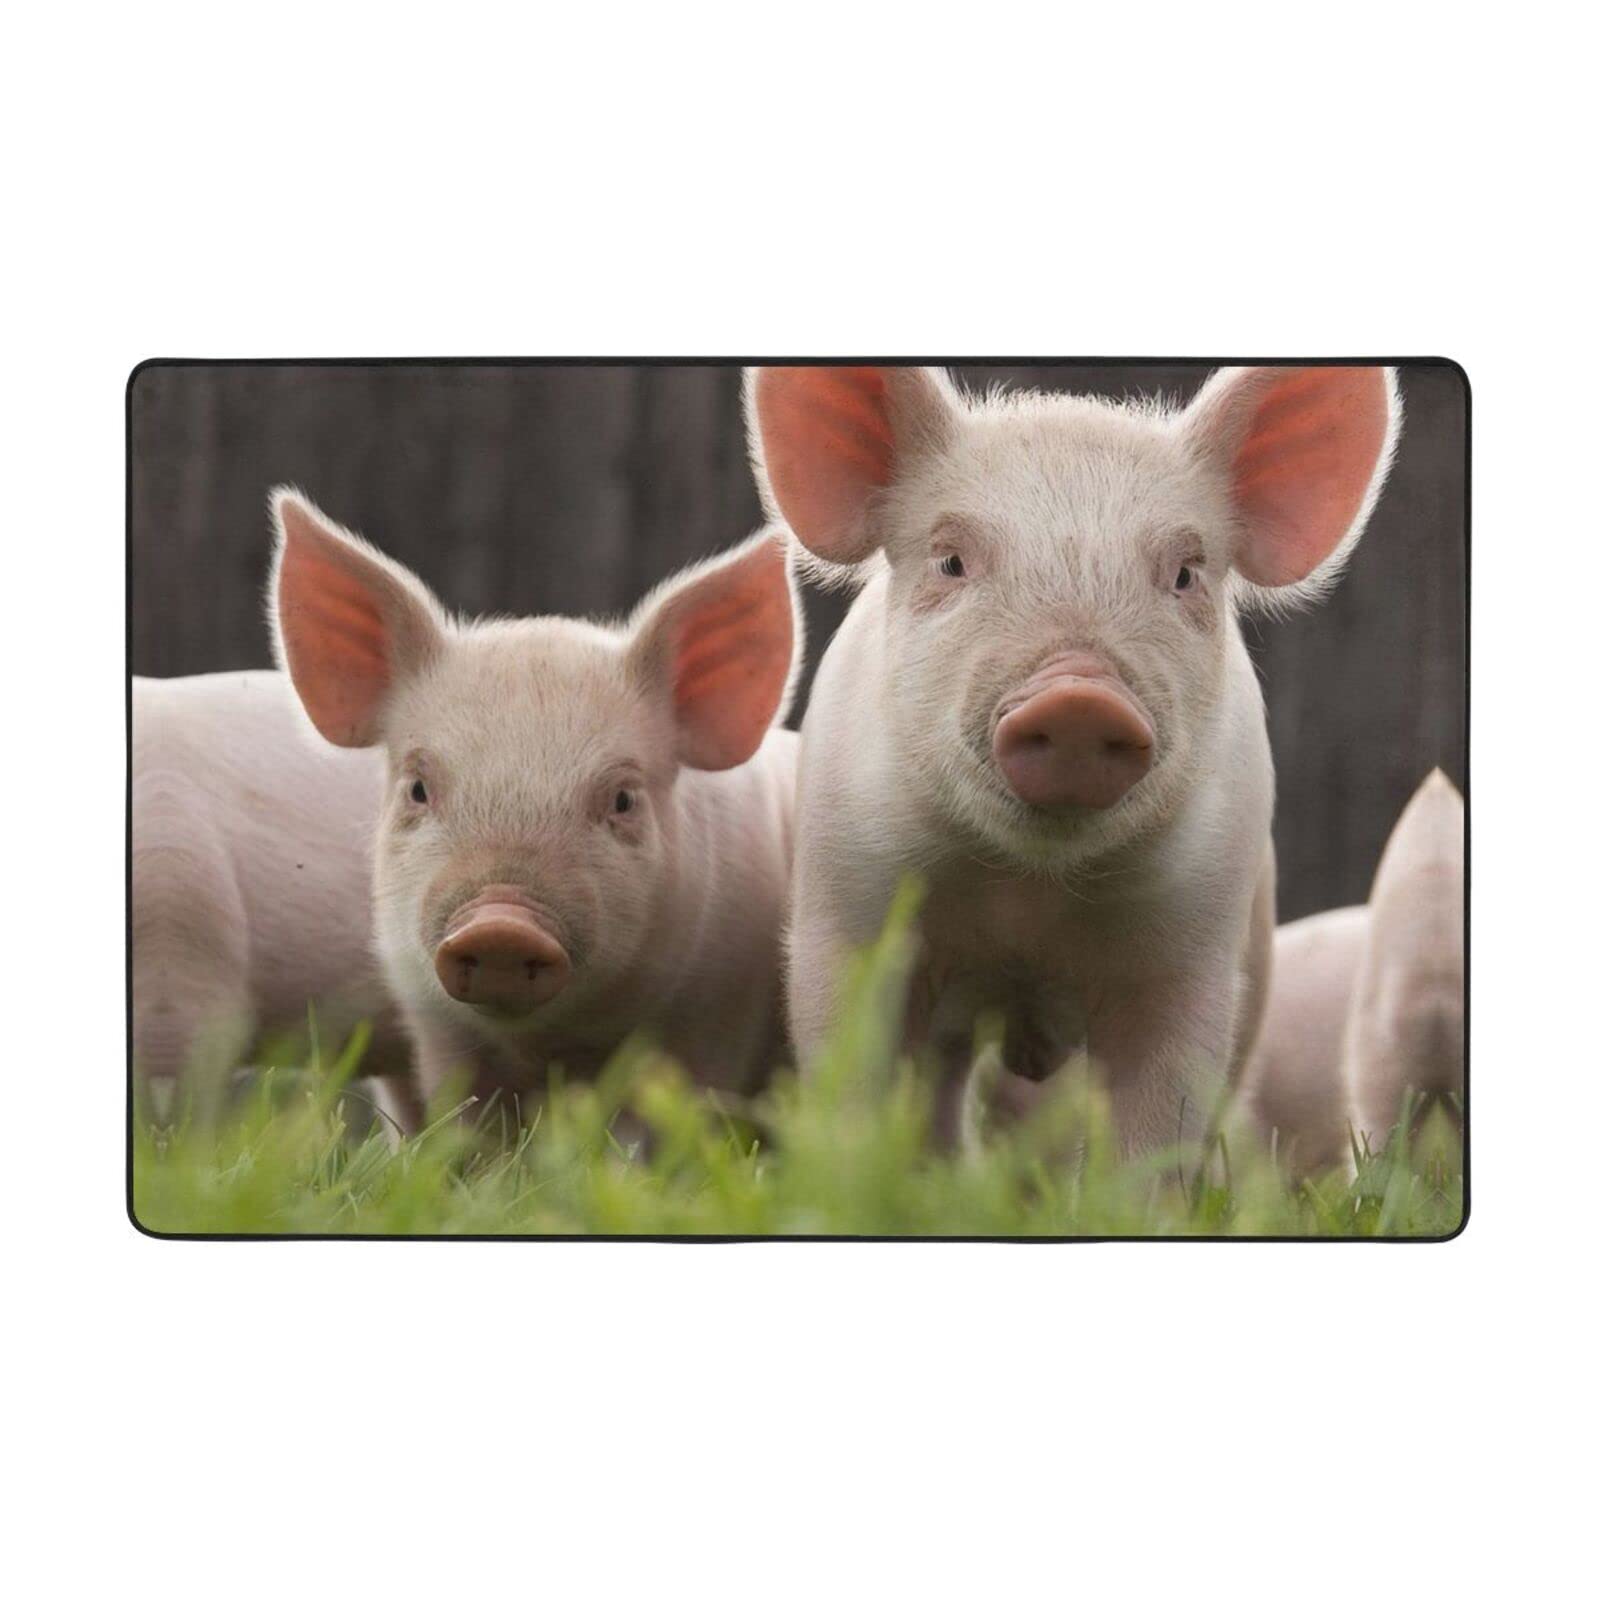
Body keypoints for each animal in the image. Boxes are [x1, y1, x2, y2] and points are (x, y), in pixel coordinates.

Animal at [269, 489, 801, 1124]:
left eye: (622, 799)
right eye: (419, 788)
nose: (501, 926)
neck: (548, 1047)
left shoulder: (714, 1015)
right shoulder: (434, 1022)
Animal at [746, 364, 1400, 1153]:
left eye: (1185, 574)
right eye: (951, 560)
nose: (1080, 699)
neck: (1027, 898)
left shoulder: (1192, 952)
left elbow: (1157, 1125)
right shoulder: (846, 913)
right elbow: (858, 1085)